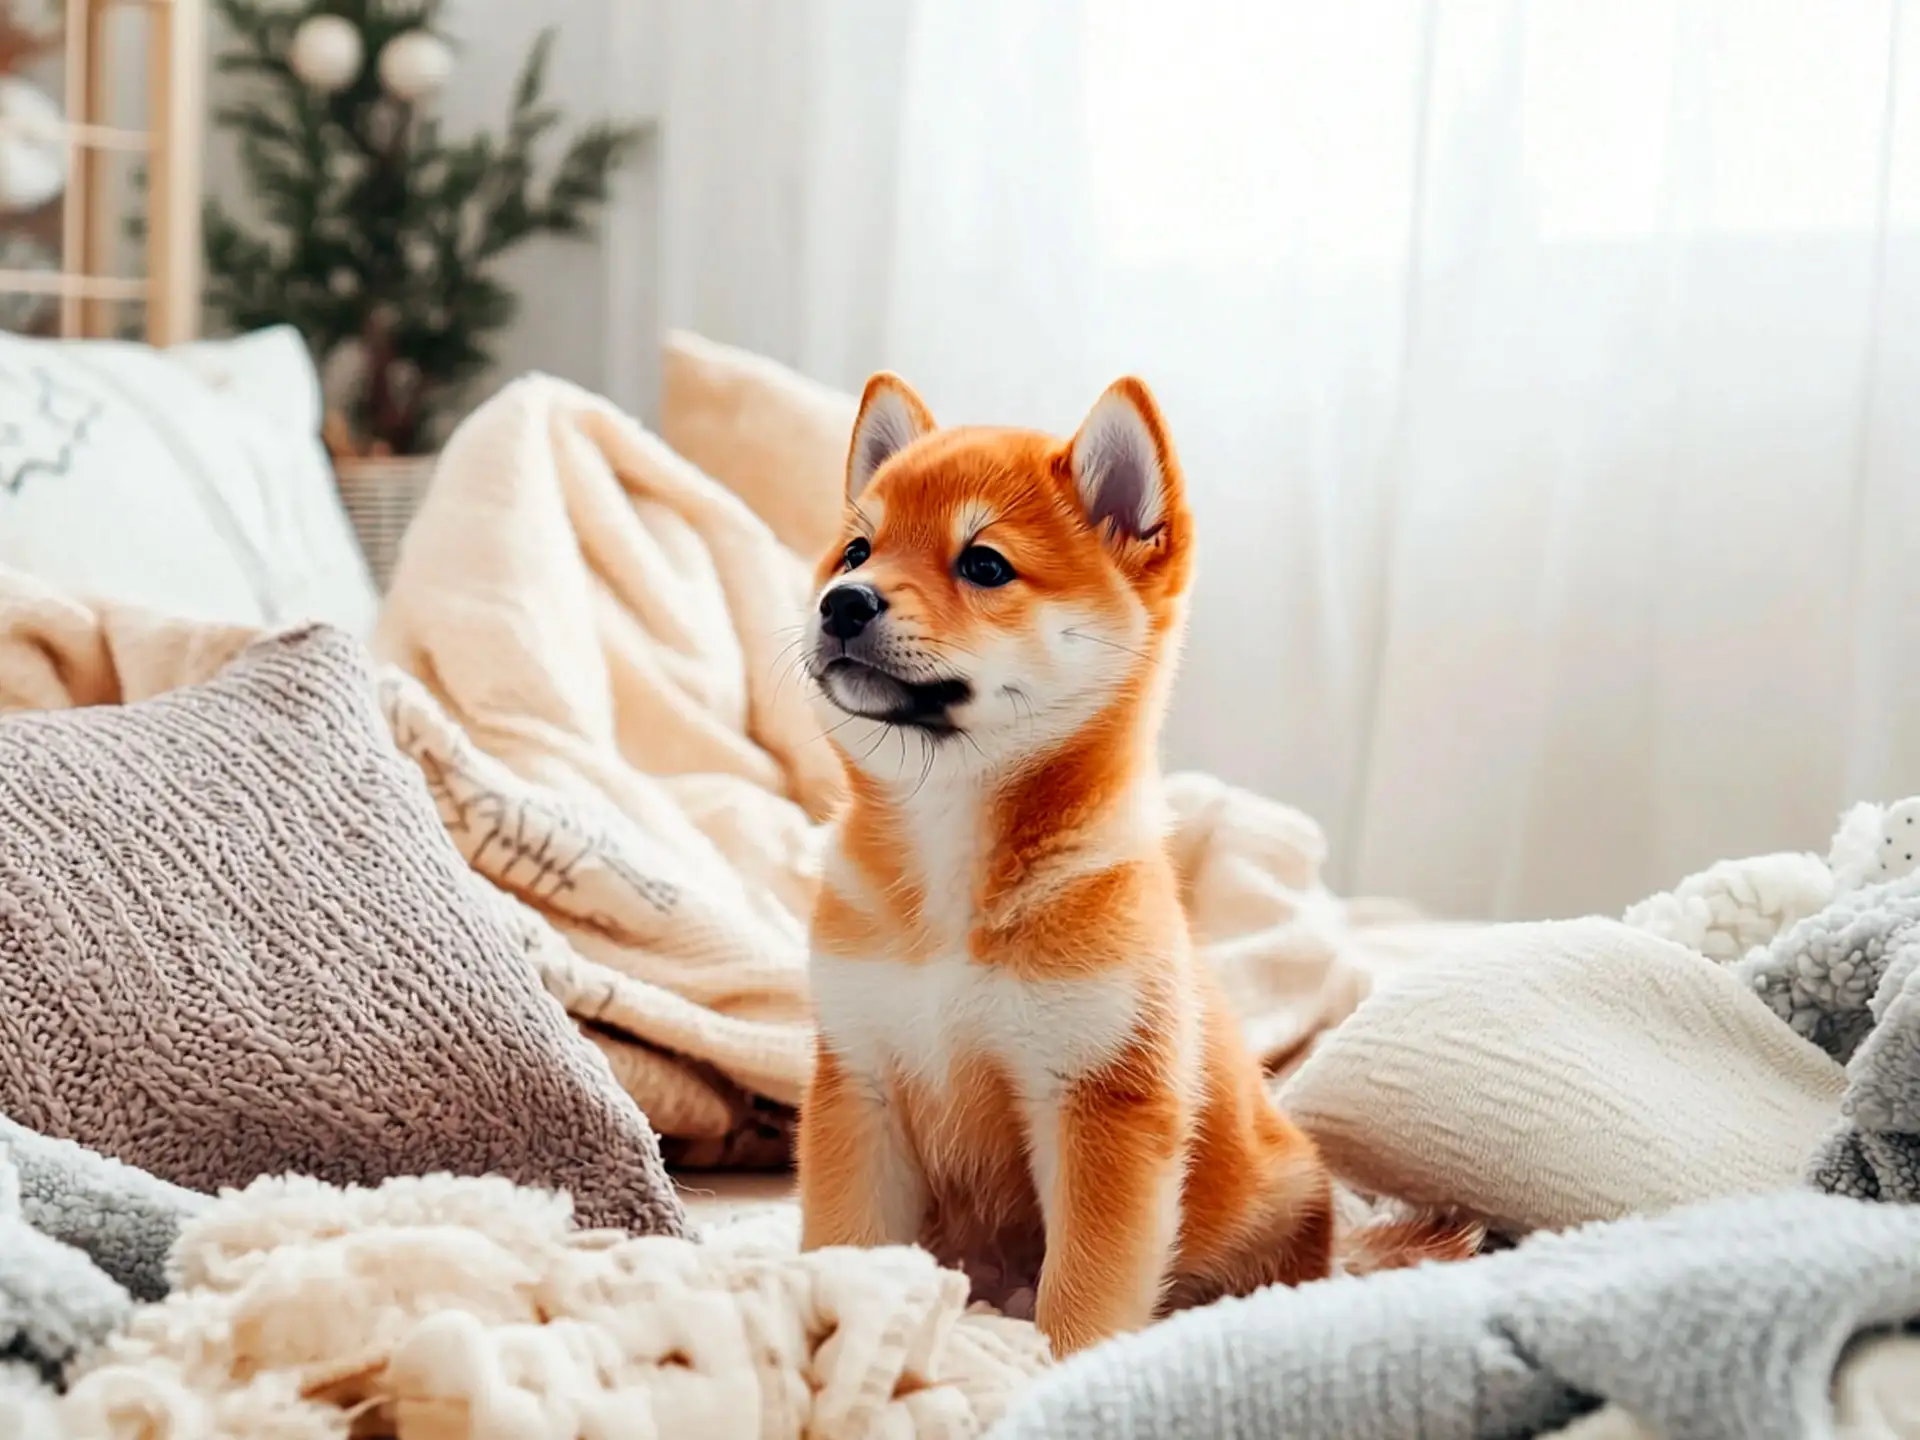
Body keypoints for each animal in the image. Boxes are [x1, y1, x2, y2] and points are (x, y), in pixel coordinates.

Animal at [794, 378, 1466, 1359]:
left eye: (984, 564)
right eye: (856, 550)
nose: (842, 603)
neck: (951, 865)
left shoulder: (1100, 1101)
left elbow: (1084, 1296)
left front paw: (1055, 1369)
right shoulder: (862, 1083)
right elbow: (844, 1243)